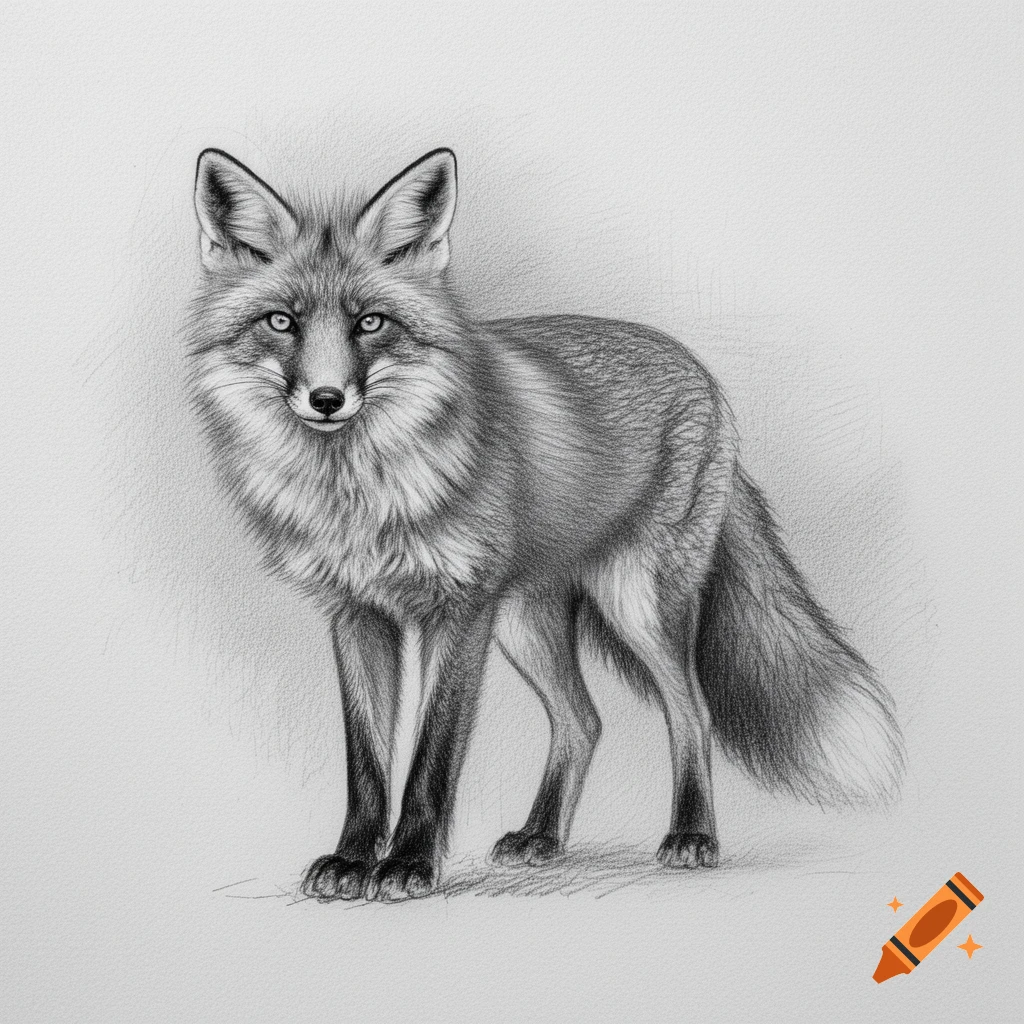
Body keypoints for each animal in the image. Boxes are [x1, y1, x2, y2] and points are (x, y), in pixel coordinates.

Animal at [189, 146, 904, 902]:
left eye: (371, 323)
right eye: (281, 322)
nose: (326, 399)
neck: (360, 494)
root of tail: (701, 373)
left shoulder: (460, 611)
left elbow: (430, 761)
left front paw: (408, 862)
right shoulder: (357, 612)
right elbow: (368, 765)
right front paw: (354, 859)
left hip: (635, 603)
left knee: (692, 710)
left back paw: (692, 836)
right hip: (524, 622)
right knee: (583, 720)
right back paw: (543, 836)